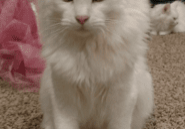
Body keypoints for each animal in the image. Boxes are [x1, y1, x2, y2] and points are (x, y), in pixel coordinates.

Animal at [37, 0, 153, 129]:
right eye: (67, 1)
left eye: (98, 0)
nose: (81, 18)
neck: (87, 53)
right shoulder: (63, 100)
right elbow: (65, 124)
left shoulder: (122, 100)